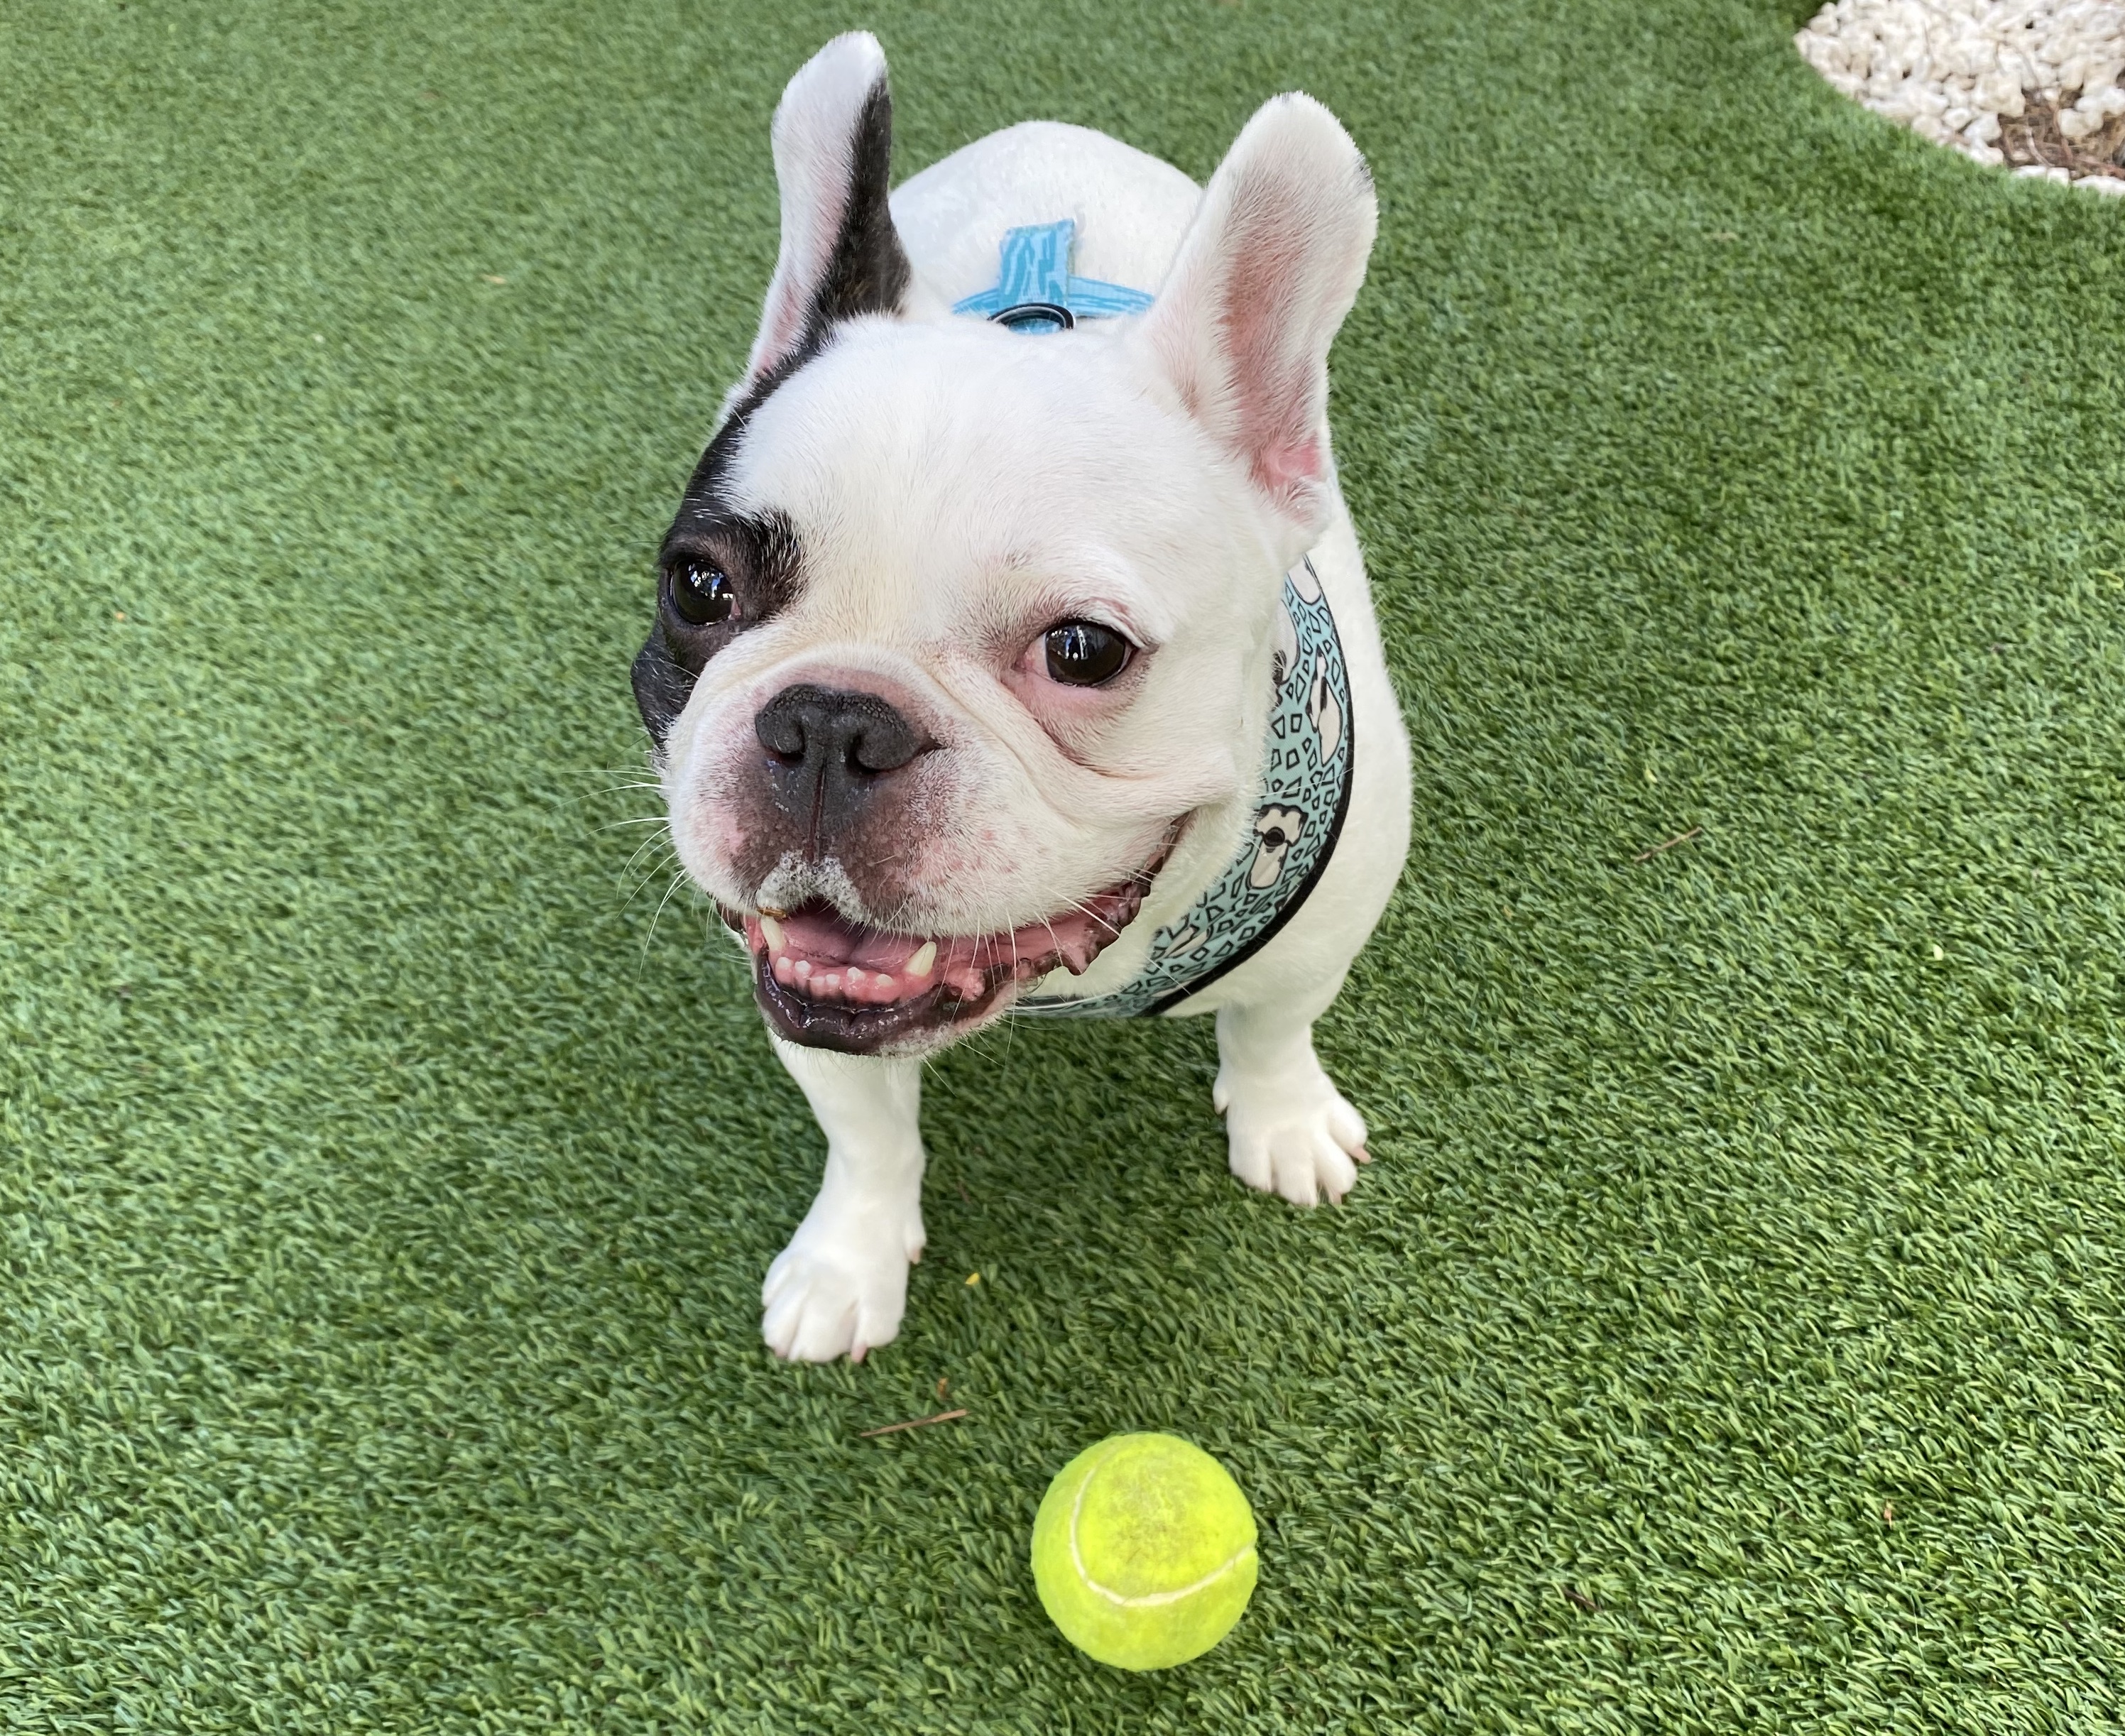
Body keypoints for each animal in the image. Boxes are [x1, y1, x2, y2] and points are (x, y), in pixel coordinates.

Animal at [633, 33, 1411, 1362]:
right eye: (699, 585)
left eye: (1083, 652)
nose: (831, 722)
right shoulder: (809, 1004)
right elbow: (866, 1136)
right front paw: (848, 1262)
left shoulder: (1323, 928)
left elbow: (1273, 1029)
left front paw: (1282, 1121)